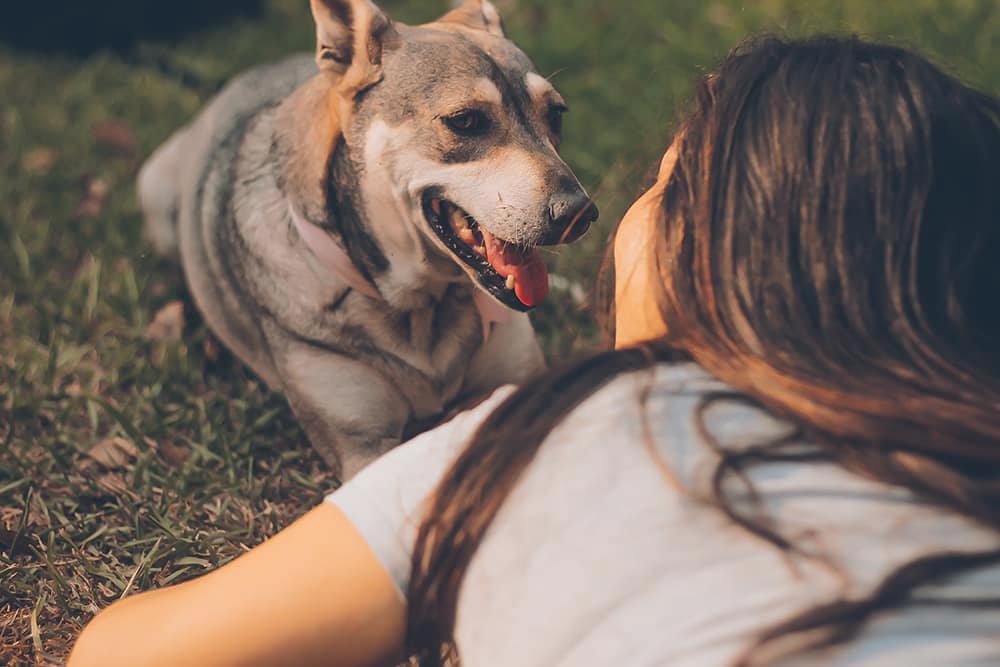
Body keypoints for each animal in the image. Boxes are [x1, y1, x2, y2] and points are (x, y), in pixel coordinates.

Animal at [137, 0, 596, 480]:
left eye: (556, 114)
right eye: (465, 120)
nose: (579, 214)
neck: (420, 306)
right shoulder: (361, 443)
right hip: (154, 189)